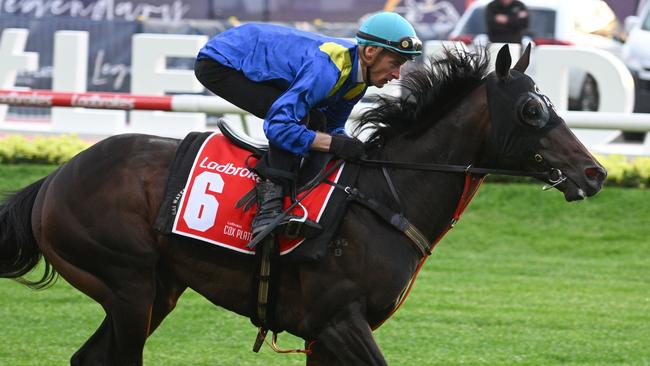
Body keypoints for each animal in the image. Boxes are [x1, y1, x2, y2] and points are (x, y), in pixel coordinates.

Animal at [2, 46, 604, 366]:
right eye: (531, 110)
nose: (594, 172)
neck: (385, 195)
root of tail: (53, 178)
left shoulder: (324, 334)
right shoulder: (337, 320)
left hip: (157, 290)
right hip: (128, 284)